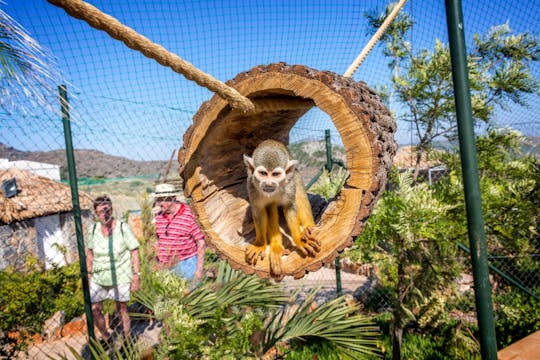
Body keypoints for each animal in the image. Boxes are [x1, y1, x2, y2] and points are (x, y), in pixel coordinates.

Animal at [243, 139, 318, 274]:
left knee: (298, 192)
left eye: (275, 174)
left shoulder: (289, 185)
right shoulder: (251, 185)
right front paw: (260, 244)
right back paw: (276, 247)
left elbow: (289, 207)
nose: (269, 183)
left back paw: (308, 227)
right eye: (263, 173)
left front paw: (299, 239)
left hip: (294, 176)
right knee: (271, 206)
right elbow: (259, 210)